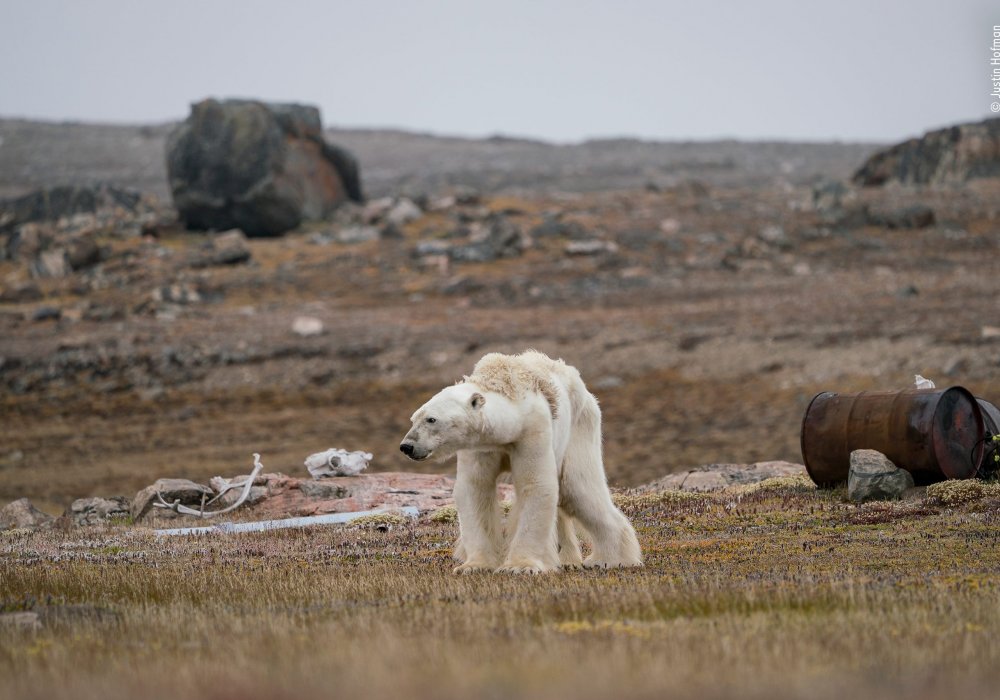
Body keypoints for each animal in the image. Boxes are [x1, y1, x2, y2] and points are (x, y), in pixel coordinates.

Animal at [398, 350, 640, 576]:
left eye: (431, 419)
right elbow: (475, 489)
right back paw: (567, 559)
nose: (407, 446)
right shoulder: (481, 445)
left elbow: (535, 485)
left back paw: (609, 559)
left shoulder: (532, 430)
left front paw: (520, 566)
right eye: (413, 418)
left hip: (580, 426)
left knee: (578, 488)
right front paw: (474, 566)